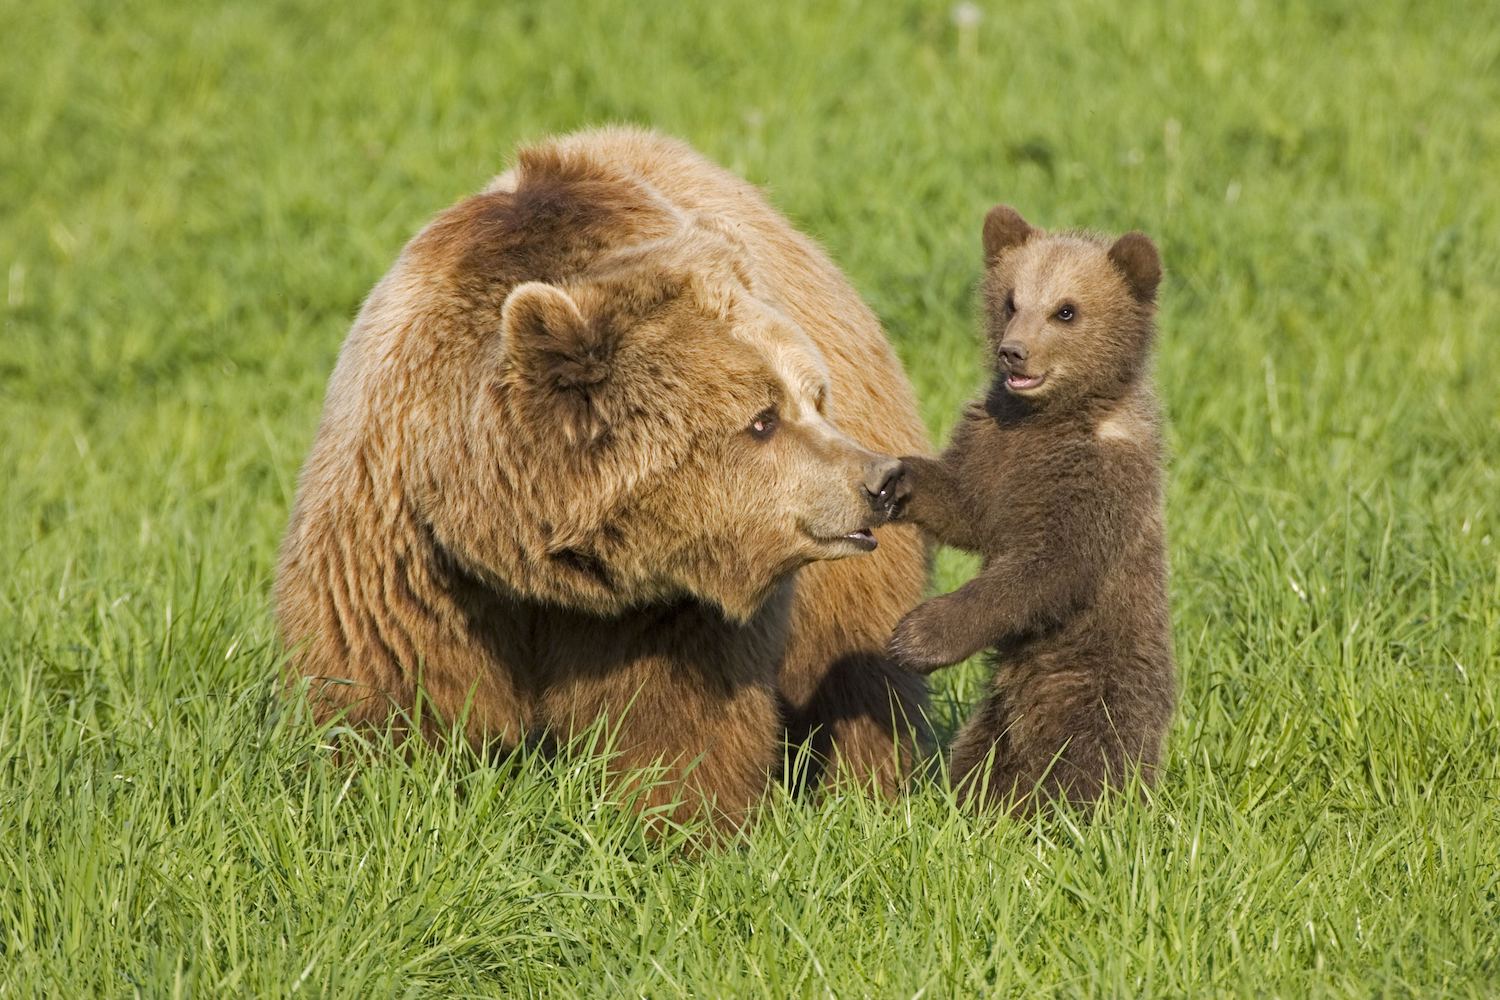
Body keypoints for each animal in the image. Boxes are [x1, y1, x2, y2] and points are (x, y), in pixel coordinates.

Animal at [271, 128, 924, 827]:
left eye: (813, 398)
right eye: (762, 420)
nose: (880, 480)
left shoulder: (664, 610)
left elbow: (674, 723)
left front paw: (683, 820)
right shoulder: (407, 558)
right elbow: (383, 691)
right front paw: (370, 788)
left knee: (857, 678)